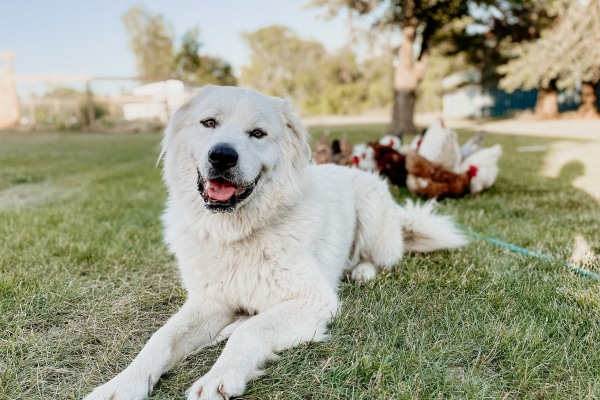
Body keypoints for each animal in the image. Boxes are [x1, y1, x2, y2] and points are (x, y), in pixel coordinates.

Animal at [84, 86, 468, 398]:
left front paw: (218, 378)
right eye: (209, 123)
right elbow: (161, 339)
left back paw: (361, 271)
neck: (237, 233)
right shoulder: (209, 301)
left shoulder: (314, 298)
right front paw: (121, 385)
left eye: (258, 133)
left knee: (374, 258)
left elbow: (252, 331)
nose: (222, 156)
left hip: (372, 212)